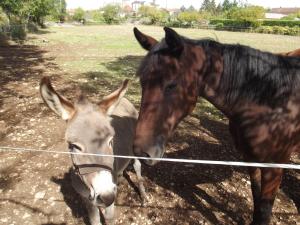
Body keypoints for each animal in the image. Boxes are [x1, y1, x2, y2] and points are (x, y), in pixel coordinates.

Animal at [132, 26, 300, 225]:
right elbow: (256, 197)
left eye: (171, 85)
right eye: (142, 82)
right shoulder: (251, 159)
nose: (141, 152)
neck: (272, 103)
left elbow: (264, 210)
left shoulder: (273, 169)